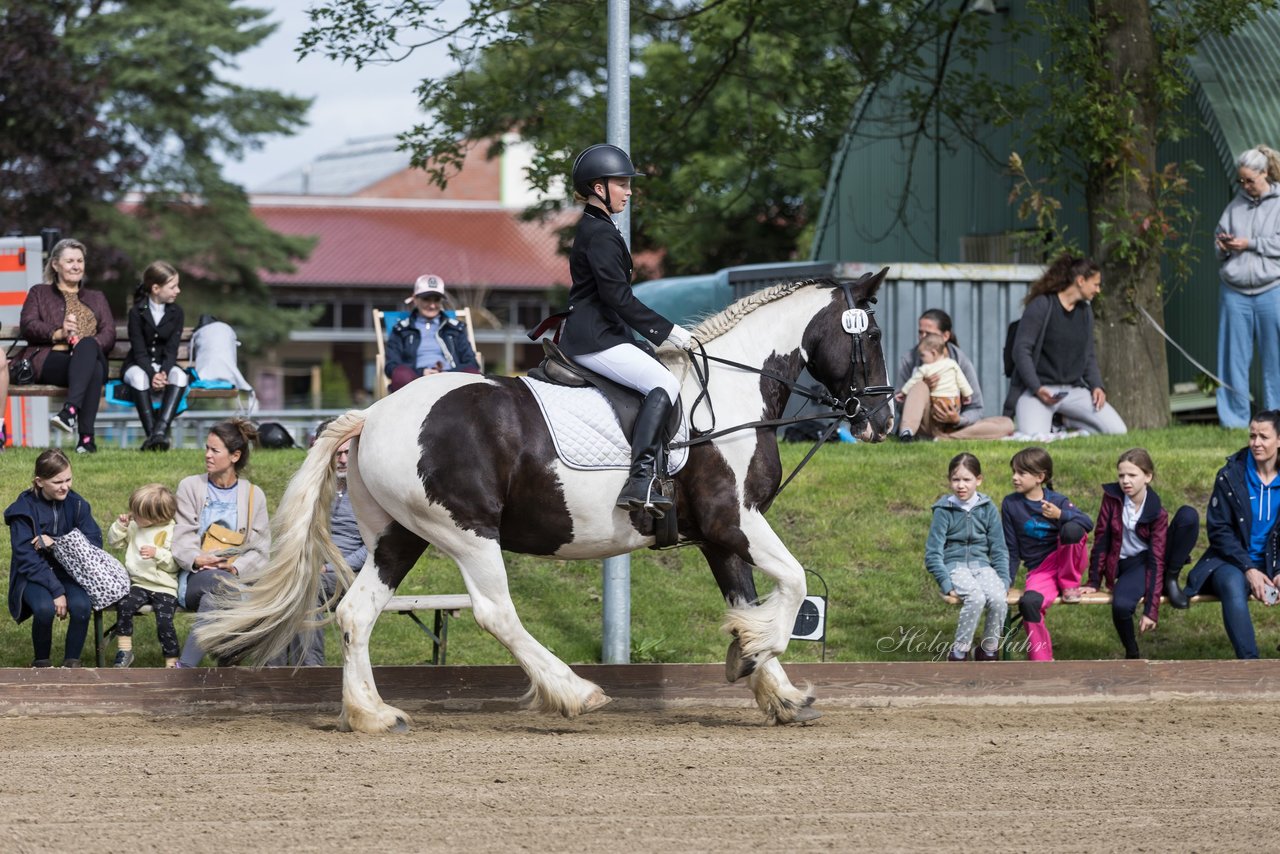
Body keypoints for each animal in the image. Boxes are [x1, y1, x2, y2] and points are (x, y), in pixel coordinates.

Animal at [194, 273, 890, 737]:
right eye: (873, 334)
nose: (880, 420)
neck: (731, 394)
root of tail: (374, 413)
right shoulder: (736, 519)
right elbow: (793, 582)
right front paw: (756, 653)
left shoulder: (717, 535)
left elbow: (748, 598)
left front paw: (773, 684)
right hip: (466, 531)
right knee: (494, 612)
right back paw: (573, 692)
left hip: (398, 535)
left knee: (357, 613)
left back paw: (373, 714)